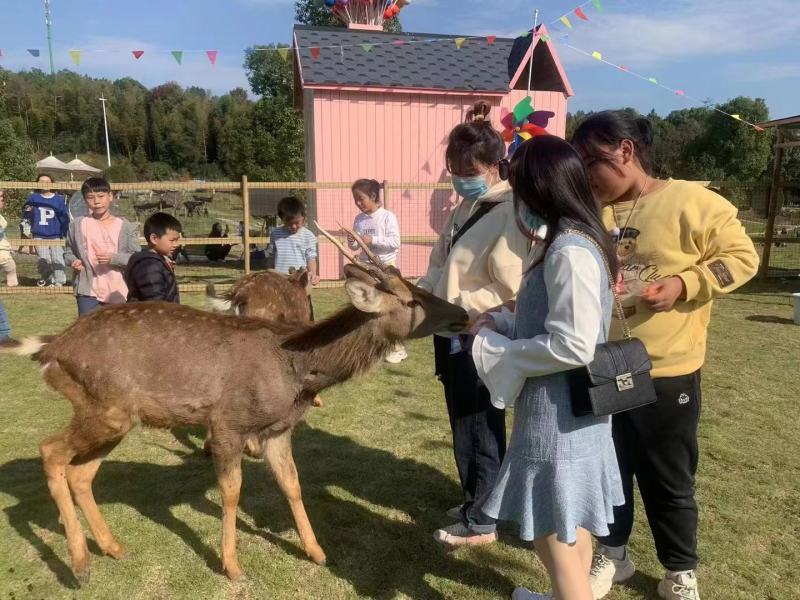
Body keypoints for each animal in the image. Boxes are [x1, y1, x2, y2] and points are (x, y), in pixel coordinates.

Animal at [0, 226, 468, 585]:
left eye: (419, 288)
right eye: (411, 300)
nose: (461, 313)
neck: (297, 369)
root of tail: (51, 349)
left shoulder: (278, 429)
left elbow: (293, 484)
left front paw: (317, 551)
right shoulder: (228, 424)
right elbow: (231, 492)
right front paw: (232, 565)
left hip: (115, 416)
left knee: (80, 473)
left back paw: (113, 547)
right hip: (104, 408)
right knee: (50, 452)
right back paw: (80, 565)